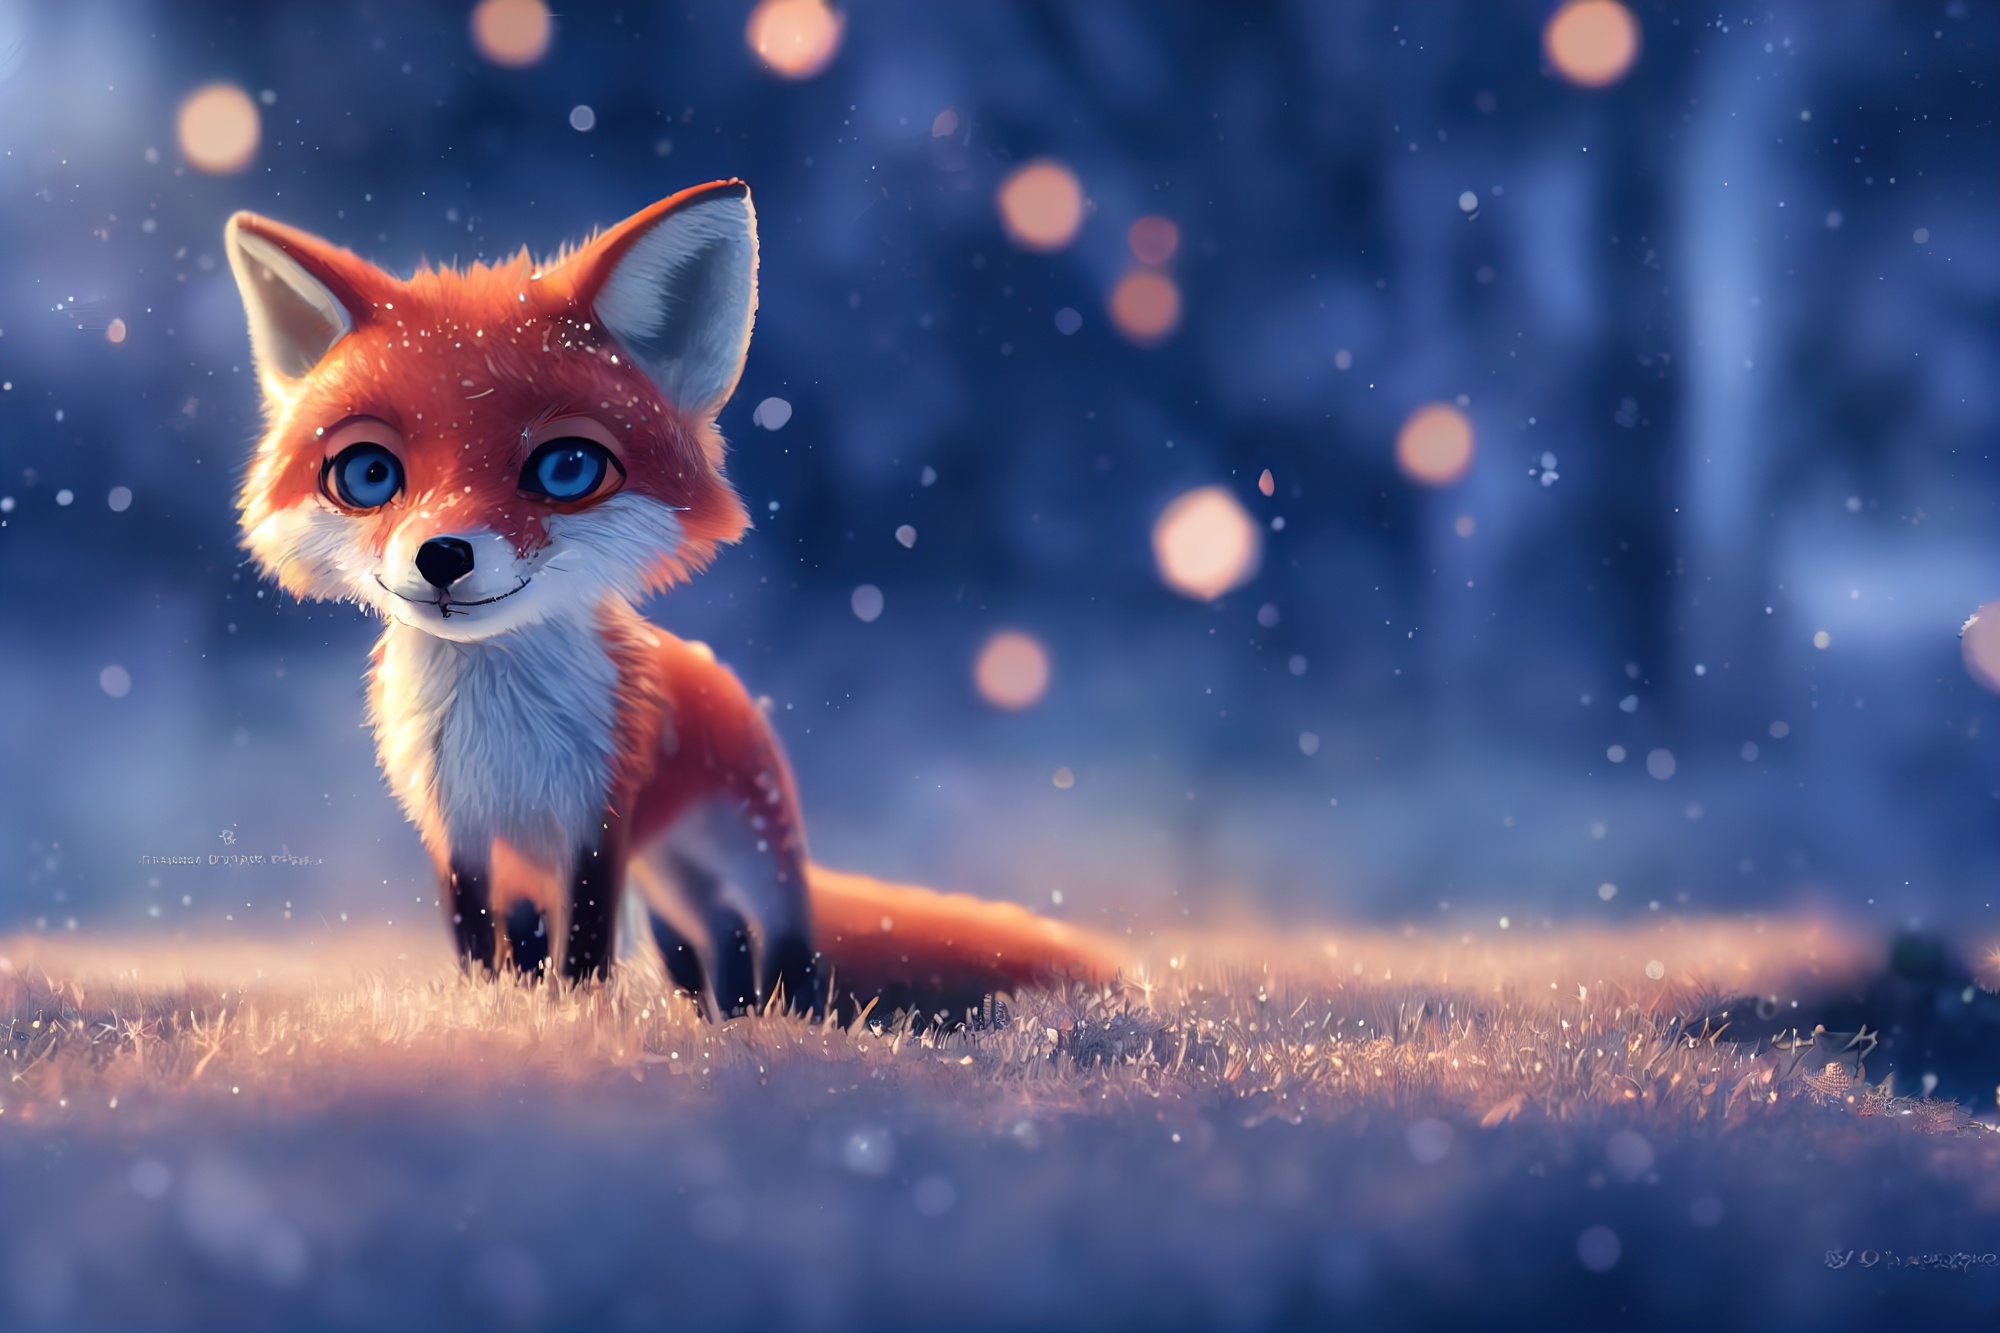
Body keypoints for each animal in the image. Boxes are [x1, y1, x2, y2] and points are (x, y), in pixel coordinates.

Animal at [224, 180, 1122, 1019]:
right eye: (368, 473)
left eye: (567, 468)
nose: (441, 554)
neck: (502, 729)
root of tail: (722, 677)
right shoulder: (468, 833)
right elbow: (492, 943)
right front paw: (506, 1013)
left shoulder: (598, 818)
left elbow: (584, 942)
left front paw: (576, 1018)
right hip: (670, 879)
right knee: (712, 940)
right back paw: (718, 1019)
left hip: (750, 854)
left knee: (782, 934)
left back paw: (786, 1019)